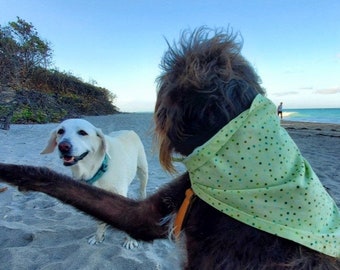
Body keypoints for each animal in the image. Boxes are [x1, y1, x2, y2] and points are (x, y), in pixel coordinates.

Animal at [40, 118, 147, 249]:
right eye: (60, 131)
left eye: (82, 132)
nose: (63, 146)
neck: (96, 170)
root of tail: (128, 130)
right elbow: (100, 222)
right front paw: (98, 237)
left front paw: (130, 240)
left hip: (143, 171)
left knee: (142, 191)